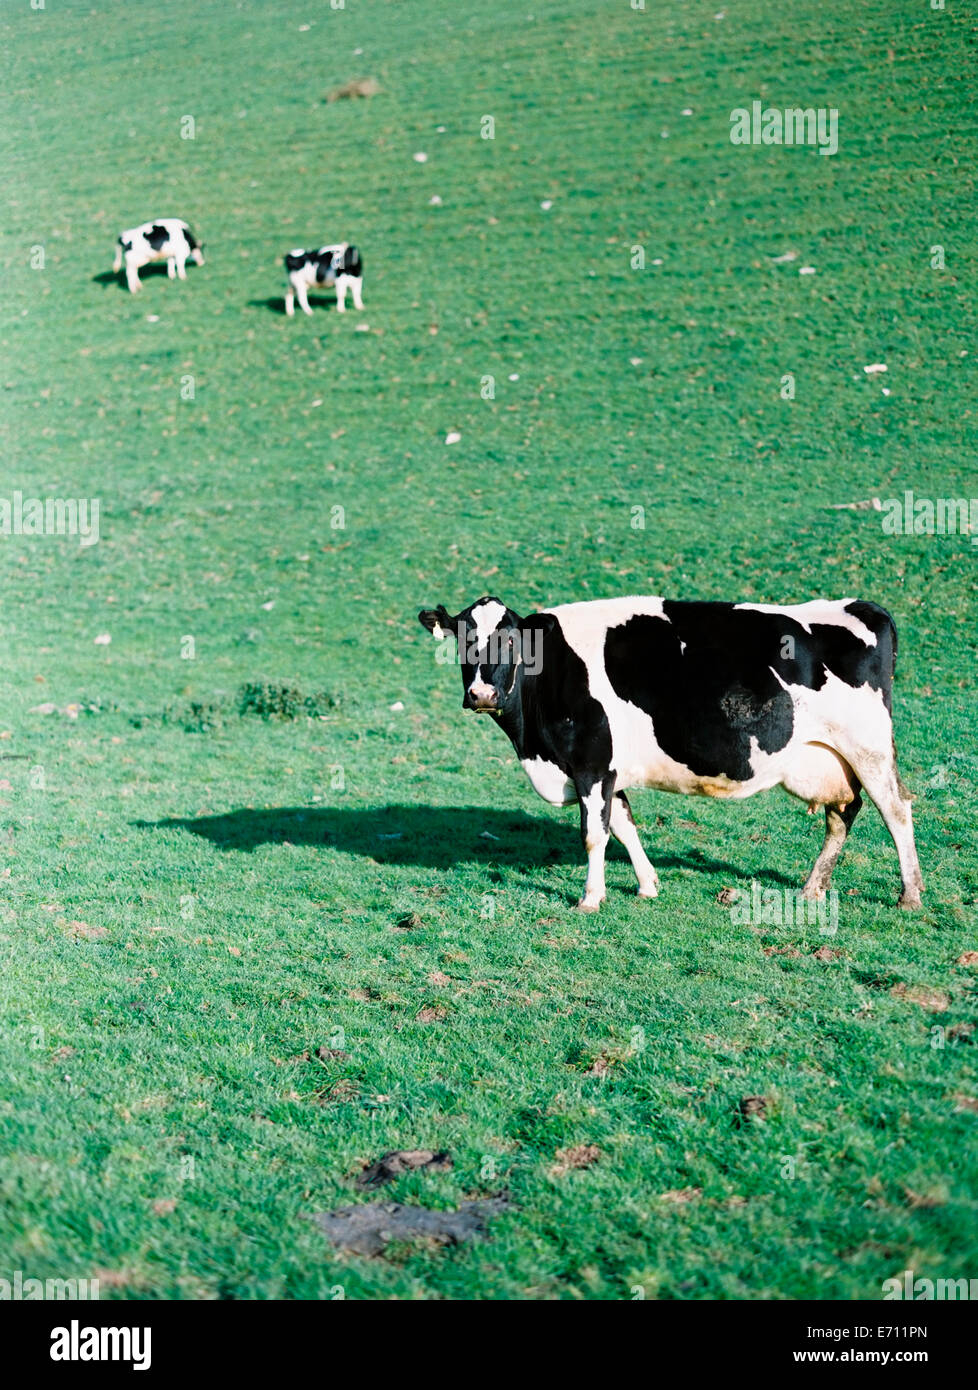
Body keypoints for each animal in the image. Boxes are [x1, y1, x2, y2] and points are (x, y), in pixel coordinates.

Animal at [418, 595, 923, 913]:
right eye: (463, 639)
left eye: (510, 639)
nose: (481, 694)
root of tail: (861, 606)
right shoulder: (608, 769)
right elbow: (624, 826)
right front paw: (647, 885)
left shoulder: (590, 763)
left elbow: (594, 834)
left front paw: (590, 898)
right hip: (829, 758)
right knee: (844, 813)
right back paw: (812, 888)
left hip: (868, 747)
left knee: (896, 809)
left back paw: (910, 894)